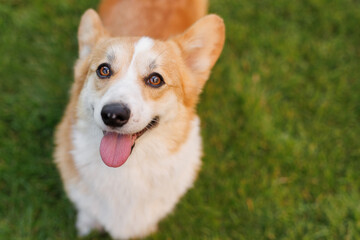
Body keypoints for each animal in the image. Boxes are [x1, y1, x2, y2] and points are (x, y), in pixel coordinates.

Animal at [54, 0, 224, 237]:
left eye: (155, 79)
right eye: (103, 70)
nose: (113, 115)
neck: (125, 170)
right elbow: (88, 210)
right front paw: (87, 225)